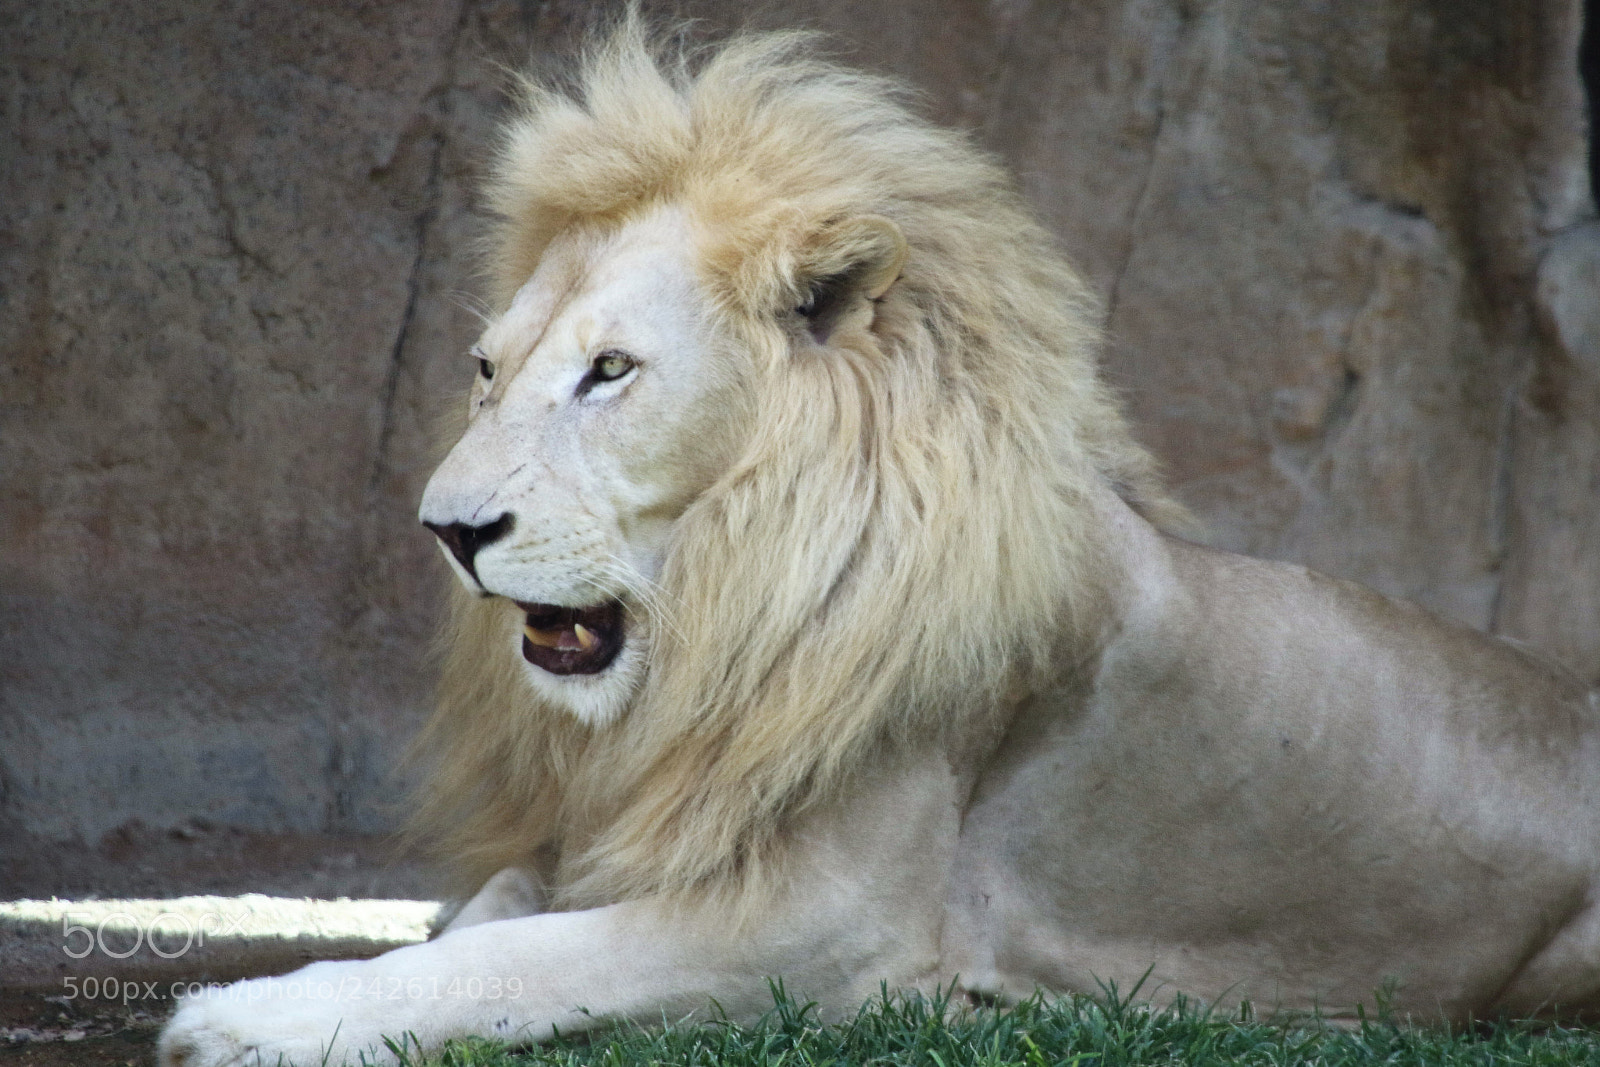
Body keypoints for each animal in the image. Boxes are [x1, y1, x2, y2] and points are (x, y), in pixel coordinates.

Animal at [160, 17, 1600, 1067]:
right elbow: (490, 910)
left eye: (611, 370)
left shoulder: (827, 925)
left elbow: (519, 955)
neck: (733, 593)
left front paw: (254, 1013)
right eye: (484, 369)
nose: (449, 532)